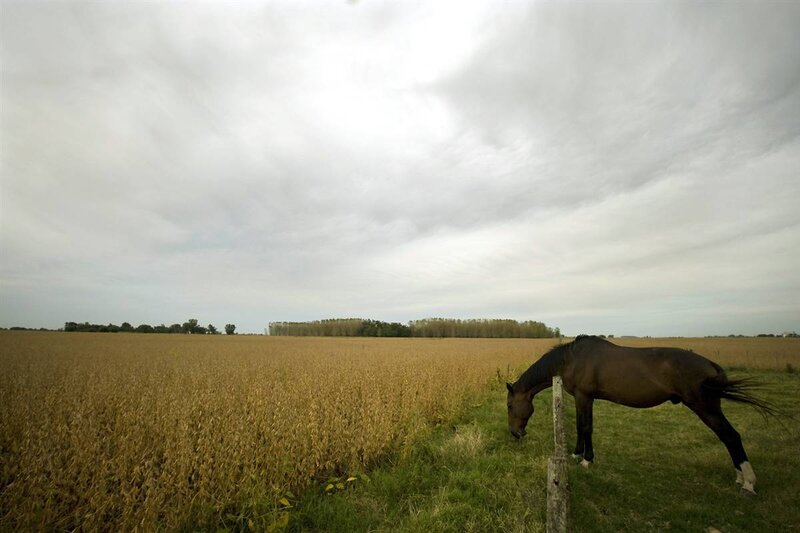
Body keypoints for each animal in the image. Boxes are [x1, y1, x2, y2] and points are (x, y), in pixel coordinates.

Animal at [506, 335, 774, 494]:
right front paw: (576, 454)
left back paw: (748, 482)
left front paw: (587, 460)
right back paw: (740, 478)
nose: (515, 433)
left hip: (706, 408)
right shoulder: (580, 399)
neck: (572, 358)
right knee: (727, 437)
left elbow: (586, 427)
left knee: (731, 436)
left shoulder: (585, 396)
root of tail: (711, 365)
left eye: (509, 406)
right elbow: (581, 426)